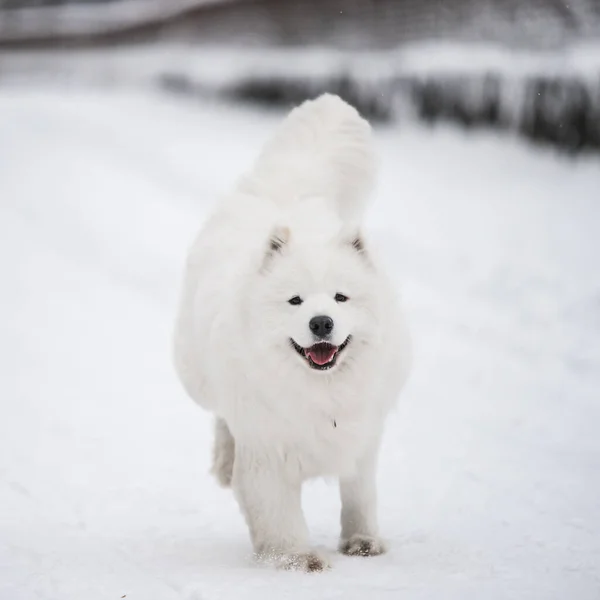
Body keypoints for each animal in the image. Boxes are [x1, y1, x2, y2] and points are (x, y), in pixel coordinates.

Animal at [171, 94, 410, 572]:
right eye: (295, 301)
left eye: (340, 298)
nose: (322, 323)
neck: (320, 391)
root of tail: (287, 190)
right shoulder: (267, 451)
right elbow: (277, 512)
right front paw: (295, 558)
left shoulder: (361, 439)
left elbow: (360, 497)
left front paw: (363, 542)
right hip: (198, 378)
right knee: (221, 419)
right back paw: (224, 461)